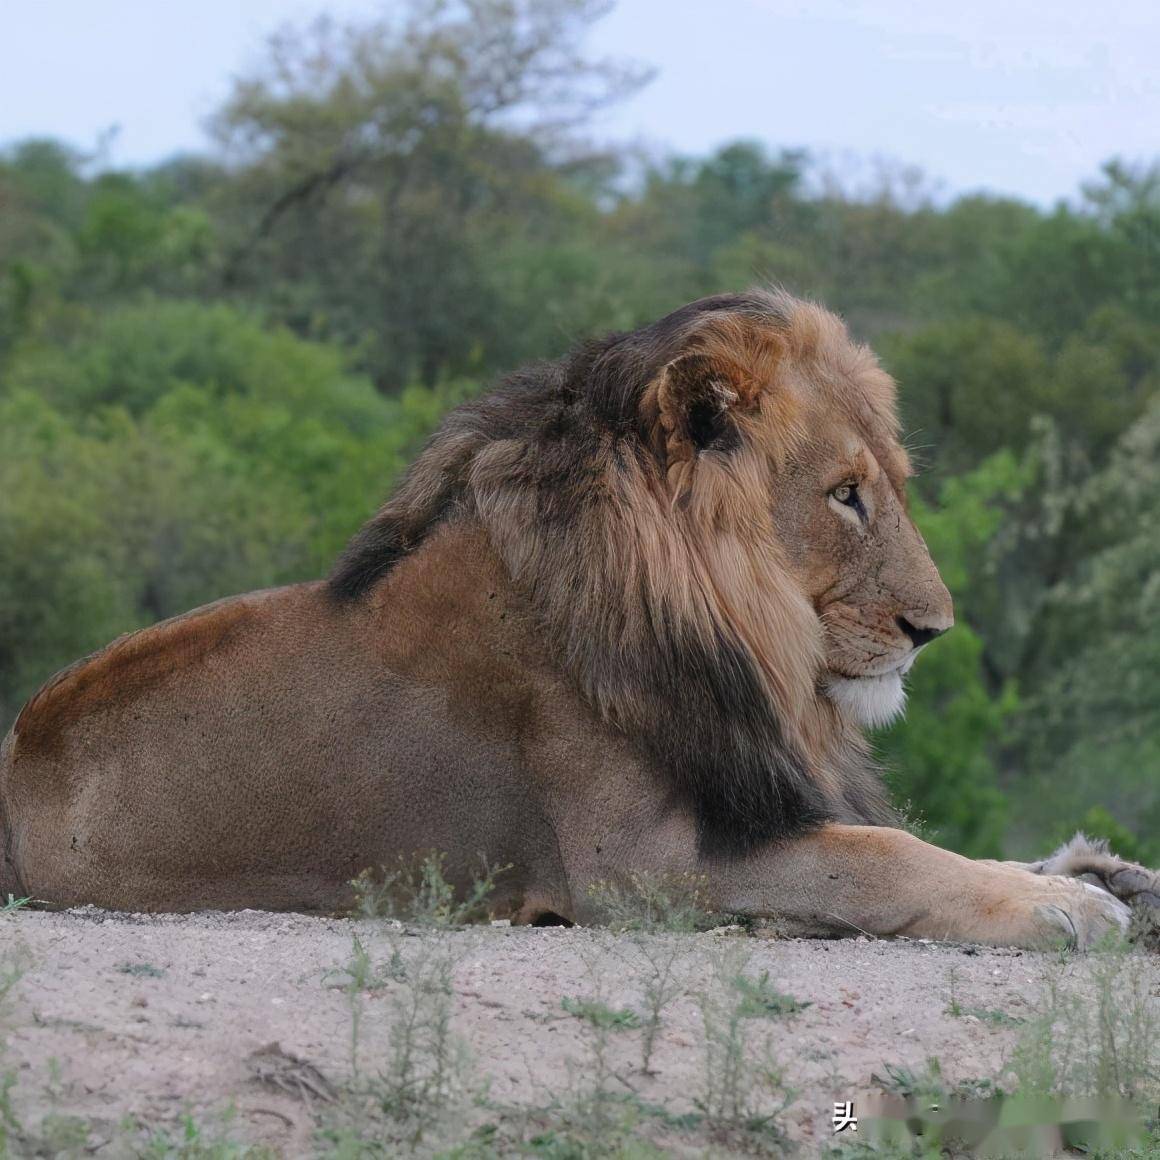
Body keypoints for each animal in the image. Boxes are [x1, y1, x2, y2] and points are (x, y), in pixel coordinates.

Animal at [0, 287, 1141, 941]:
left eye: (887, 486)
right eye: (845, 495)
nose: (932, 628)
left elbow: (896, 837)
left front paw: (1100, 871)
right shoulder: (634, 869)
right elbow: (874, 857)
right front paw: (1063, 905)